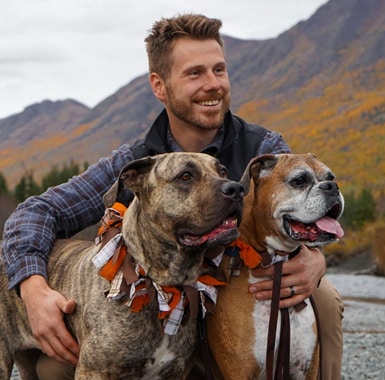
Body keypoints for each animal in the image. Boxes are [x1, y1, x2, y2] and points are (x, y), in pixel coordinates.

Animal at [208, 154, 344, 380]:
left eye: (330, 177)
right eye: (299, 180)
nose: (332, 187)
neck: (277, 259)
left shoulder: (305, 368)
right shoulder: (241, 371)